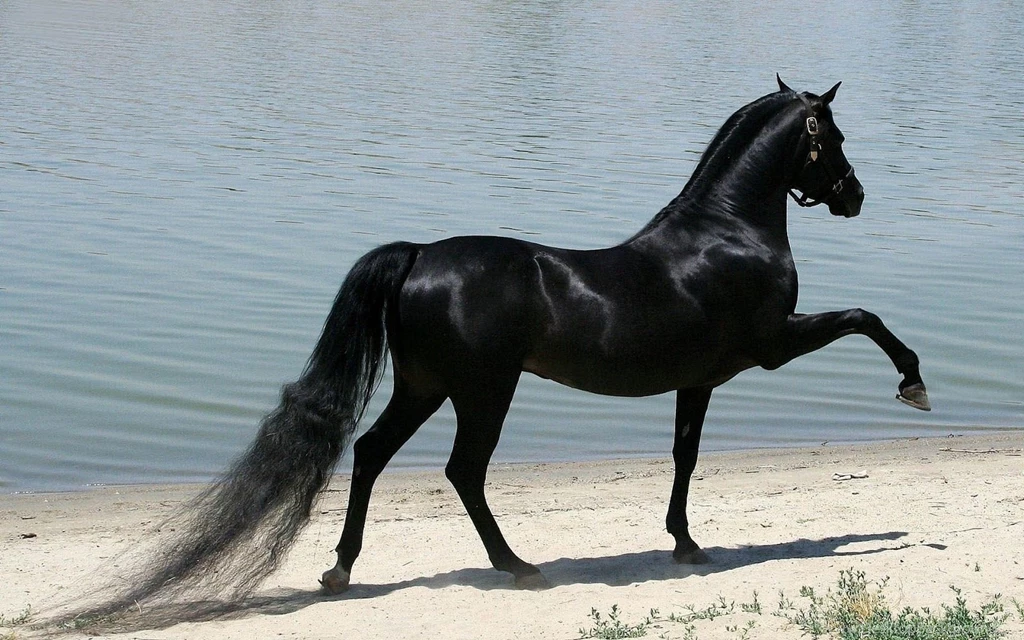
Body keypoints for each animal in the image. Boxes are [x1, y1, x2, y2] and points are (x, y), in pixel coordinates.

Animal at [74, 77, 930, 619]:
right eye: (833, 135)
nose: (855, 195)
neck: (724, 232)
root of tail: (420, 254)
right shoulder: (772, 345)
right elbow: (866, 316)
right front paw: (913, 384)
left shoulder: (701, 380)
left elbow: (684, 456)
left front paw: (685, 544)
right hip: (483, 391)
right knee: (462, 470)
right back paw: (515, 567)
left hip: (425, 387)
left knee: (372, 454)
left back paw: (341, 569)